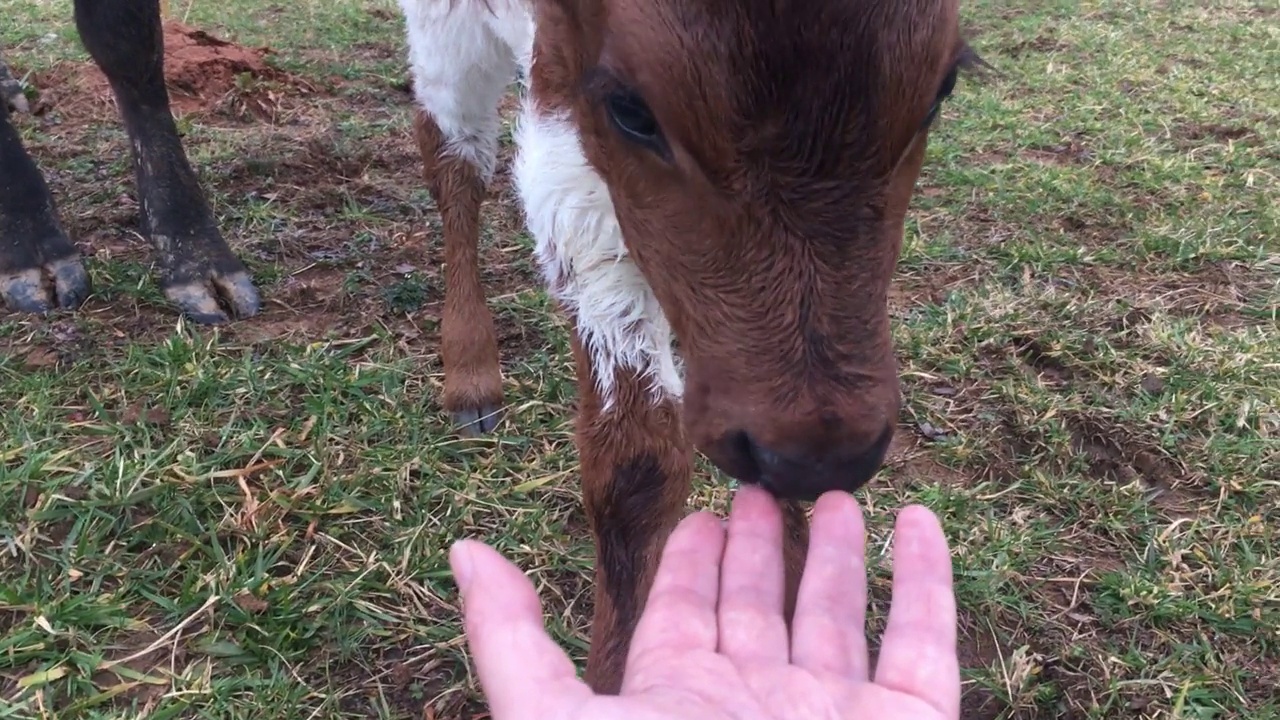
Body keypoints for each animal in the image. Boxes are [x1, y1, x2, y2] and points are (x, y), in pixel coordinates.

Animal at [399, 0, 977, 691]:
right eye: (633, 111)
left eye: (942, 90)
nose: (823, 460)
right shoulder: (564, 118)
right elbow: (636, 464)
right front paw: (620, 680)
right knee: (452, 151)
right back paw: (471, 372)